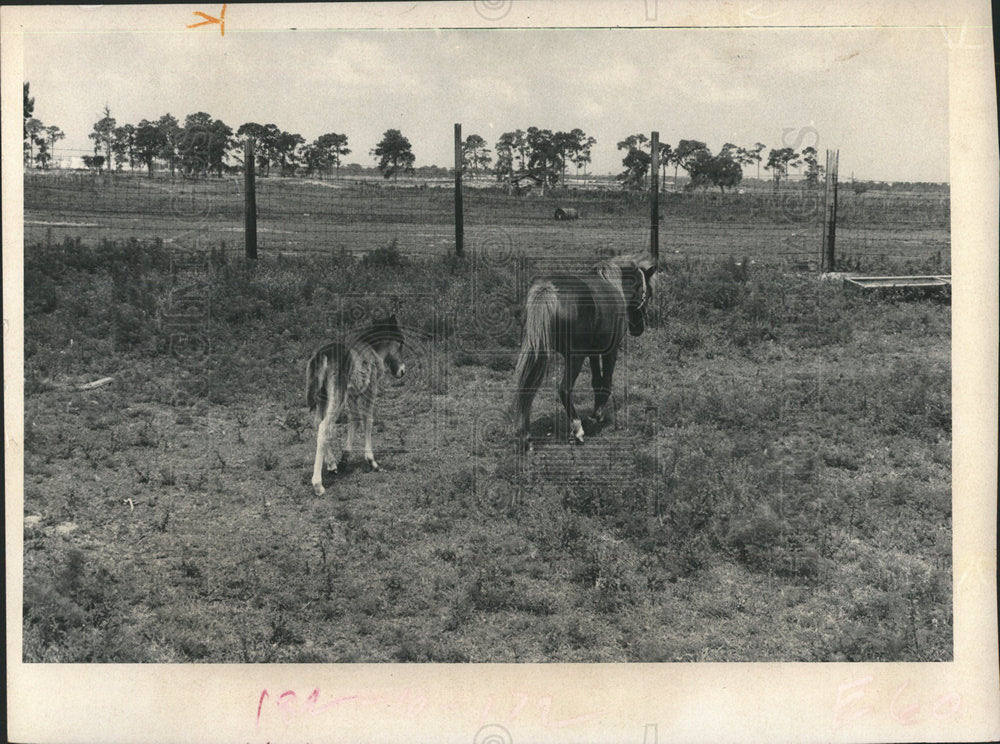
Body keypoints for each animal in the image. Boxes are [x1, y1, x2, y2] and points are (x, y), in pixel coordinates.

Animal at [512, 253, 660, 450]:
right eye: (648, 293)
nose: (638, 329)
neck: (615, 285)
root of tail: (547, 290)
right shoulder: (610, 350)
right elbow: (606, 383)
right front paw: (598, 415)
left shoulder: (593, 351)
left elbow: (596, 381)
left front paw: (596, 413)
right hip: (574, 357)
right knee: (564, 389)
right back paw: (577, 430)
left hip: (536, 352)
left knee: (526, 389)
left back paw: (526, 437)